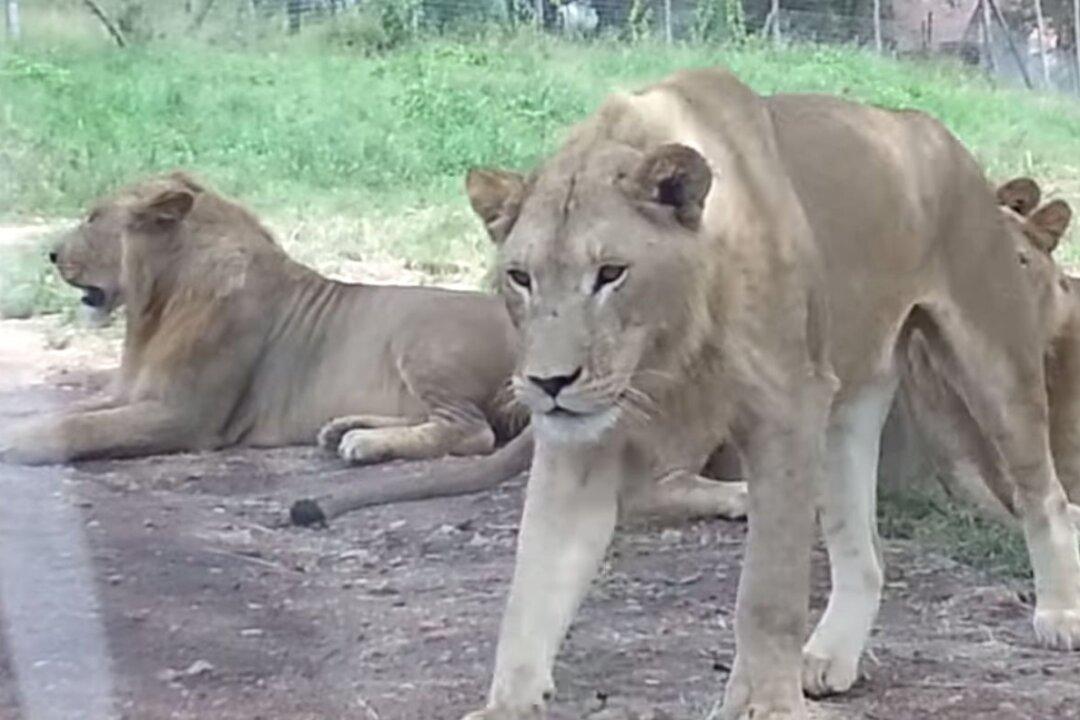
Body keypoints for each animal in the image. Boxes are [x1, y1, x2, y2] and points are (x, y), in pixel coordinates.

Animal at [451, 70, 1080, 720]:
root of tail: (932, 132)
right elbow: (532, 586)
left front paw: (764, 704)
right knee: (863, 551)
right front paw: (506, 705)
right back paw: (830, 656)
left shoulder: (787, 409)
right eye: (520, 278)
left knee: (1045, 496)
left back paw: (1059, 613)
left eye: (610, 273)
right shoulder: (581, 445)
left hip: (991, 362)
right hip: (847, 408)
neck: (666, 355)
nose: (549, 383)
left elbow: (767, 590)